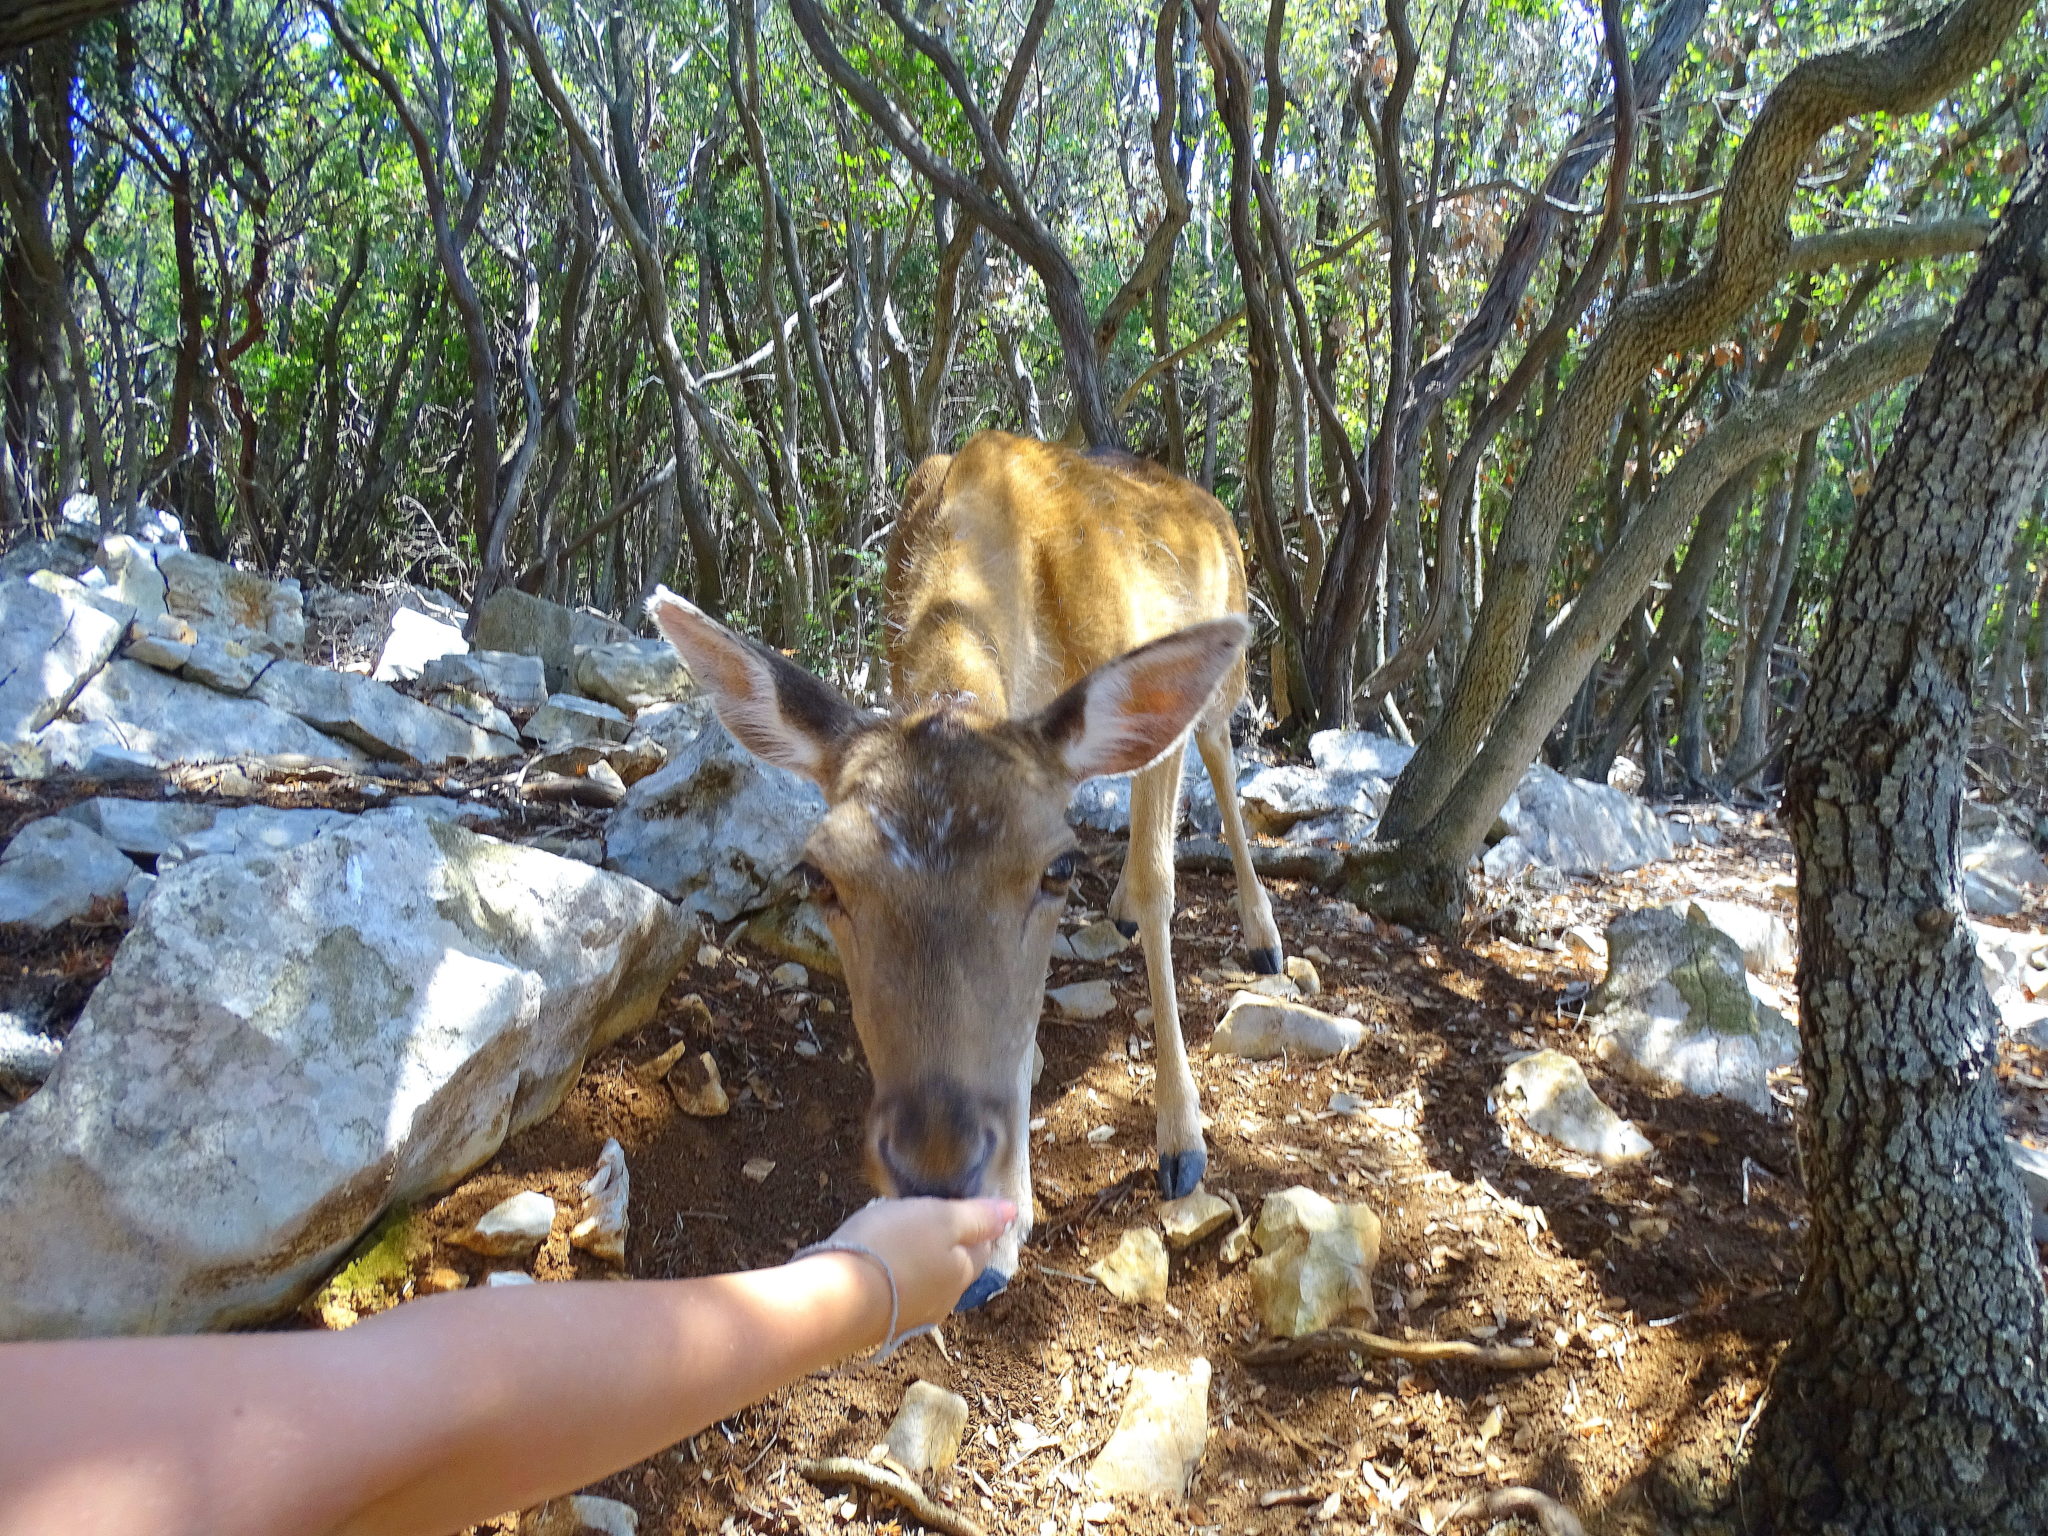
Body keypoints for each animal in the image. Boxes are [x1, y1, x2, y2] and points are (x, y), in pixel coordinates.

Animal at [651, 434, 1277, 1310]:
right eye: (817, 875)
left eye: (1059, 868)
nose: (937, 1166)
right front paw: (998, 1234)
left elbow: (1161, 886)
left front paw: (1180, 1145)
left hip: (1223, 680)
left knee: (1223, 756)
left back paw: (1262, 937)